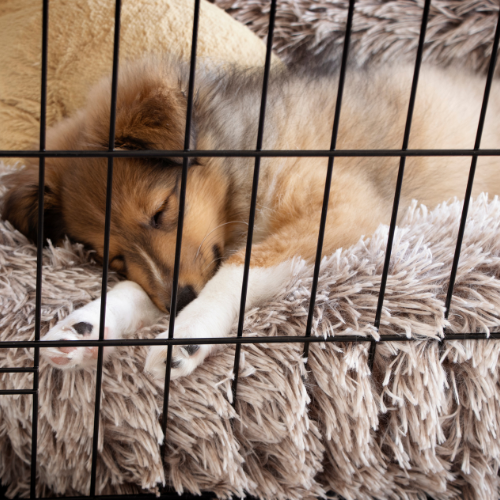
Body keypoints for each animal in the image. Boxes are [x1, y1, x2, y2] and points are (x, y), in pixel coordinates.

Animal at [3, 56, 500, 378]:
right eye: (113, 257)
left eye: (161, 210)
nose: (179, 304)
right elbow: (147, 287)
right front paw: (84, 327)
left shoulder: (344, 208)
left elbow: (239, 269)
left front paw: (186, 332)